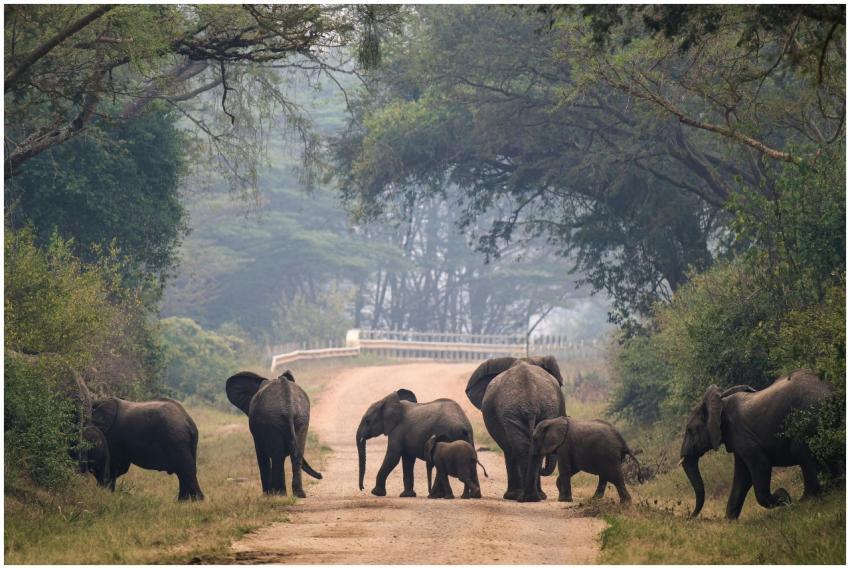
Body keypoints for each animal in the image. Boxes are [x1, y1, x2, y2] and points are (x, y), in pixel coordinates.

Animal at [466, 356, 566, 502]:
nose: (544, 470)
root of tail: (530, 402)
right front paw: (511, 496)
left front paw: (510, 496)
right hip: (516, 412)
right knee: (526, 450)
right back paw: (531, 497)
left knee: (523, 450)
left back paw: (528, 496)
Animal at [680, 368, 831, 519]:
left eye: (690, 430)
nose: (689, 517)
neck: (721, 402)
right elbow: (742, 477)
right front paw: (729, 520)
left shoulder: (744, 437)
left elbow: (760, 466)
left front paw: (783, 497)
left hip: (807, 415)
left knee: (800, 451)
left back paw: (806, 499)